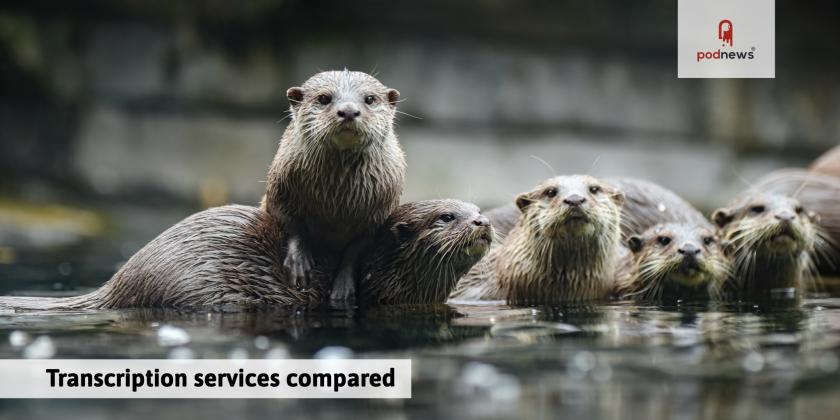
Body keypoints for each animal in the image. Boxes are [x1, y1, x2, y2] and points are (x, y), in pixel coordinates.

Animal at [262, 70, 406, 304]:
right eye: (323, 98)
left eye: (369, 99)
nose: (348, 111)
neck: (335, 206)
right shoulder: (279, 190)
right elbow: (292, 224)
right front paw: (298, 264)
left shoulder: (378, 214)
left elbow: (355, 250)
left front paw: (343, 287)